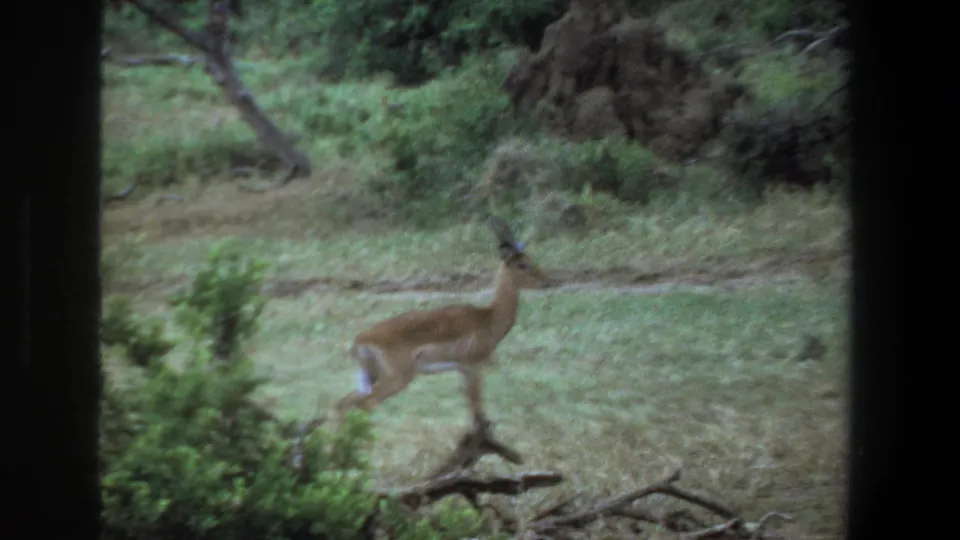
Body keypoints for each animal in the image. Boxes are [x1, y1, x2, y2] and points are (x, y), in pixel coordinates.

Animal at [333, 217, 551, 425]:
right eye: (522, 264)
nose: (546, 281)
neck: (488, 317)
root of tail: (360, 340)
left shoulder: (462, 370)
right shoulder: (472, 367)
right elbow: (478, 411)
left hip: (370, 377)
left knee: (343, 403)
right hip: (396, 378)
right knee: (364, 404)